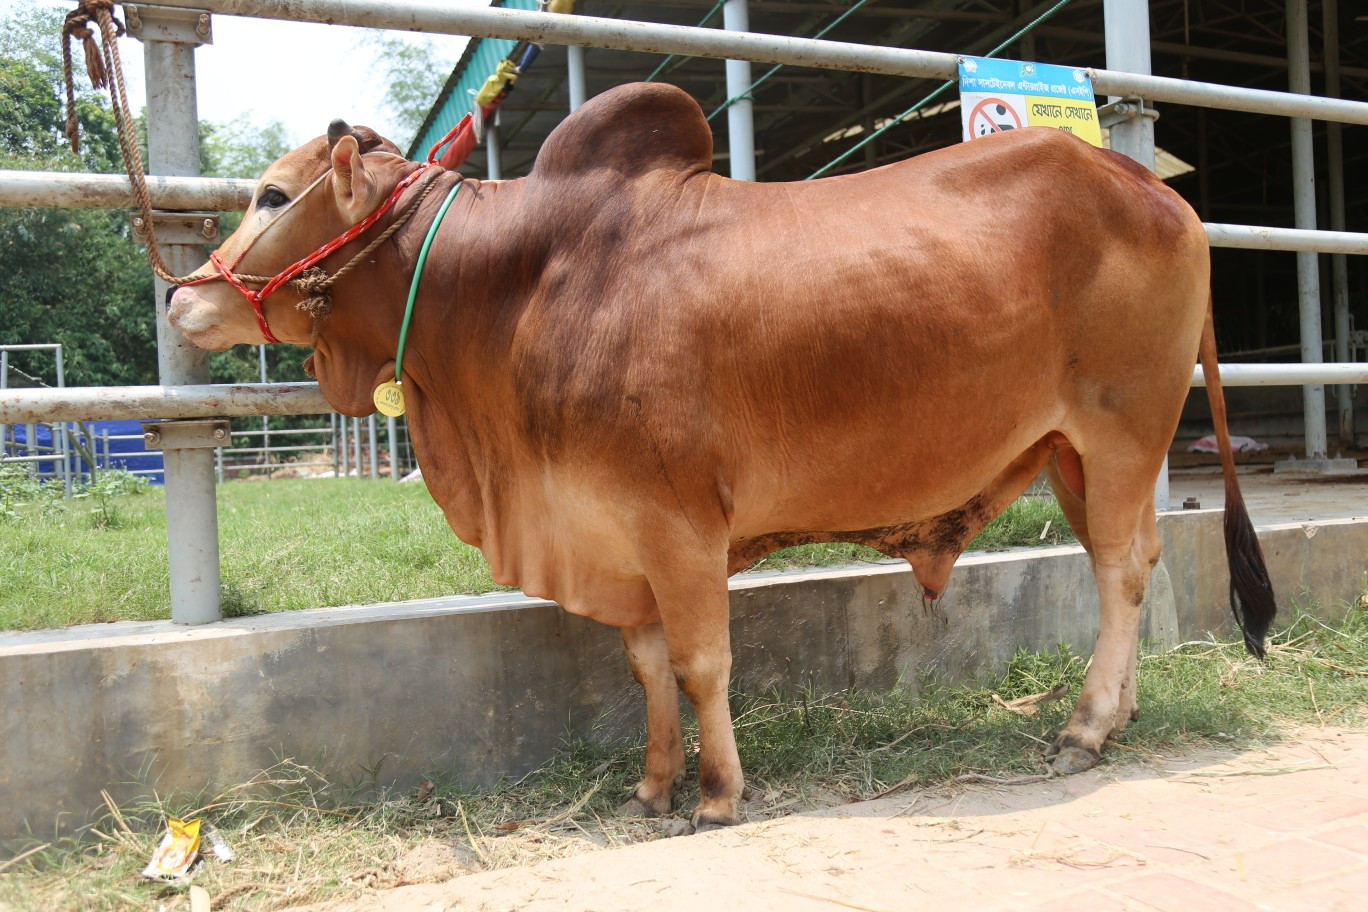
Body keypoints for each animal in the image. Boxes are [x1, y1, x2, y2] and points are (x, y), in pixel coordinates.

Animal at [169, 82, 1275, 832]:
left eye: (272, 194)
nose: (183, 297)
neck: (518, 287)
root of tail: (1154, 190)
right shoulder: (613, 527)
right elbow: (647, 664)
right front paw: (653, 784)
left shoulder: (677, 519)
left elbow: (701, 661)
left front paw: (715, 793)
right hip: (1067, 453)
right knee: (1123, 563)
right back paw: (1117, 715)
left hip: (1125, 430)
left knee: (1124, 568)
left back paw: (1084, 728)